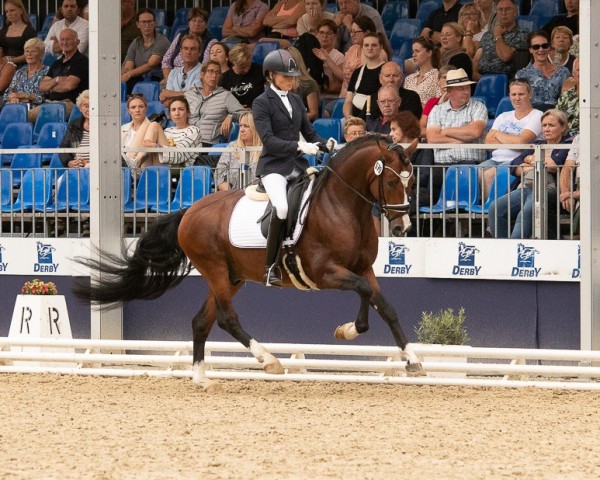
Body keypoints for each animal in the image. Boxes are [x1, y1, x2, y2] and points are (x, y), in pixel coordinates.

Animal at [74, 133, 422, 388]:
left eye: (412, 182)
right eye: (392, 182)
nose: (403, 228)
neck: (342, 204)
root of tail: (189, 211)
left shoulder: (363, 268)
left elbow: (382, 304)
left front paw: (412, 359)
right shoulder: (325, 273)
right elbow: (364, 291)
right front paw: (348, 331)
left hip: (231, 277)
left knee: (201, 320)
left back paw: (201, 378)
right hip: (215, 270)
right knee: (226, 319)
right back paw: (269, 361)